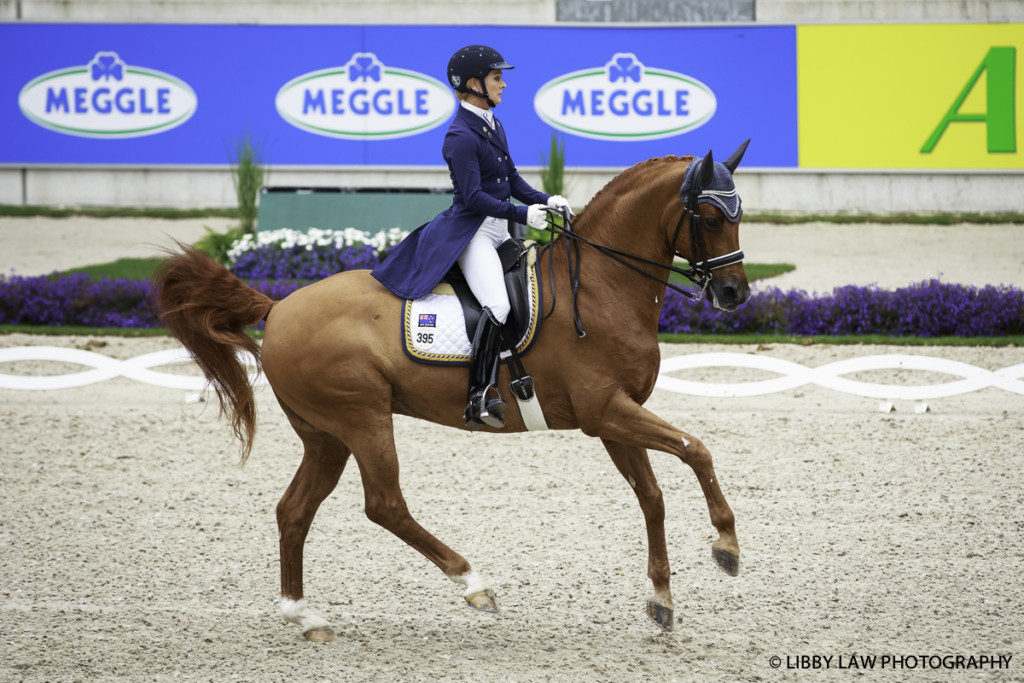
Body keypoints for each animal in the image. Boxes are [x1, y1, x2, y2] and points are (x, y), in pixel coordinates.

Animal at [157, 145, 753, 643]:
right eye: (709, 217)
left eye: (738, 212)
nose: (734, 294)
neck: (603, 286)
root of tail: (277, 305)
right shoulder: (607, 411)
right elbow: (697, 449)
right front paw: (726, 545)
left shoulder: (615, 417)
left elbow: (652, 495)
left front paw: (662, 598)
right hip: (361, 419)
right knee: (385, 505)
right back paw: (474, 585)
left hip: (326, 436)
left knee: (294, 510)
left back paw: (305, 617)